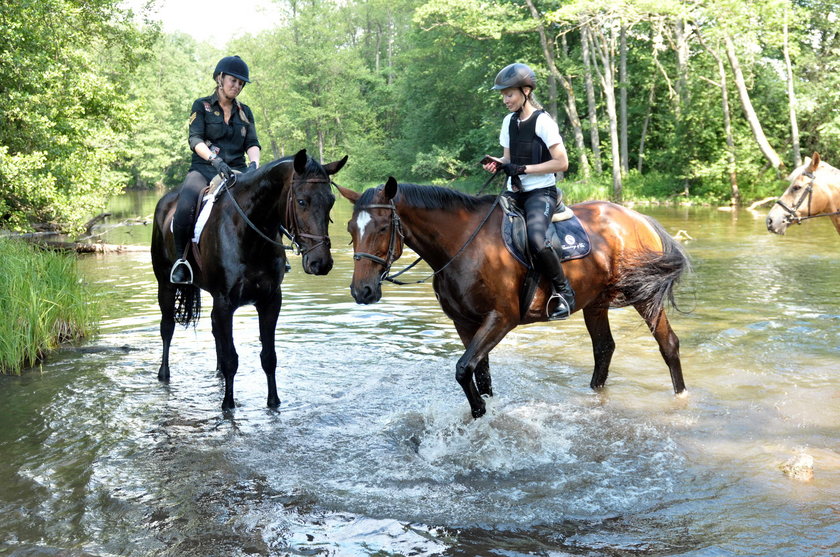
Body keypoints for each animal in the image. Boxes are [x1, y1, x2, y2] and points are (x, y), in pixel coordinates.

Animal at [153, 150, 346, 410]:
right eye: (301, 201)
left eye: (331, 201)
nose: (321, 263)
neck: (249, 233)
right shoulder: (225, 303)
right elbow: (232, 360)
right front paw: (228, 405)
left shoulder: (270, 301)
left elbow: (268, 357)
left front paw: (273, 402)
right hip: (165, 284)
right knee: (167, 327)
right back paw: (164, 374)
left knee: (215, 332)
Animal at [338, 178, 692, 416]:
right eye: (350, 229)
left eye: (382, 228)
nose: (362, 291)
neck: (462, 244)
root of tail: (640, 219)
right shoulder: (465, 323)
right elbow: (479, 373)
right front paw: (485, 411)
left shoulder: (501, 318)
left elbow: (463, 369)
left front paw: (479, 412)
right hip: (596, 302)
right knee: (604, 349)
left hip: (644, 297)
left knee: (668, 344)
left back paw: (681, 398)